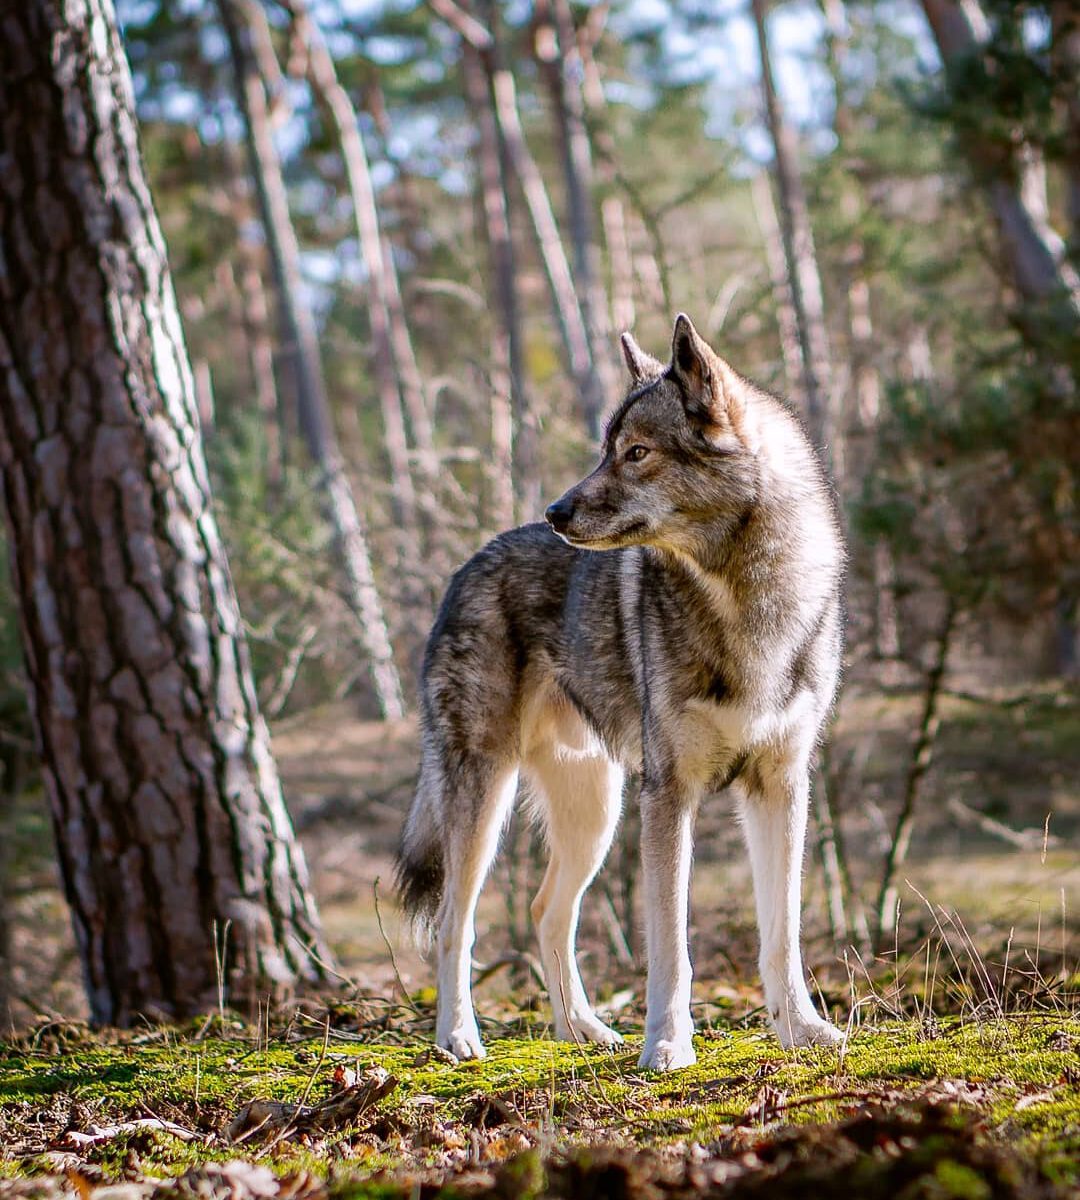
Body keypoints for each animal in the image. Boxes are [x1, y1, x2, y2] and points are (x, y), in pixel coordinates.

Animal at [396, 316, 844, 1070]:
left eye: (635, 453)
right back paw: (458, 1036)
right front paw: (666, 1043)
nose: (555, 511)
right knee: (458, 920)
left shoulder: (780, 786)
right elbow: (671, 947)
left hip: (596, 811)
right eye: (607, 451)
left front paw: (803, 1032)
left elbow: (781, 934)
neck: (744, 602)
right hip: (488, 796)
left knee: (547, 911)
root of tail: (466, 566)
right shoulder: (668, 796)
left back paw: (584, 1030)